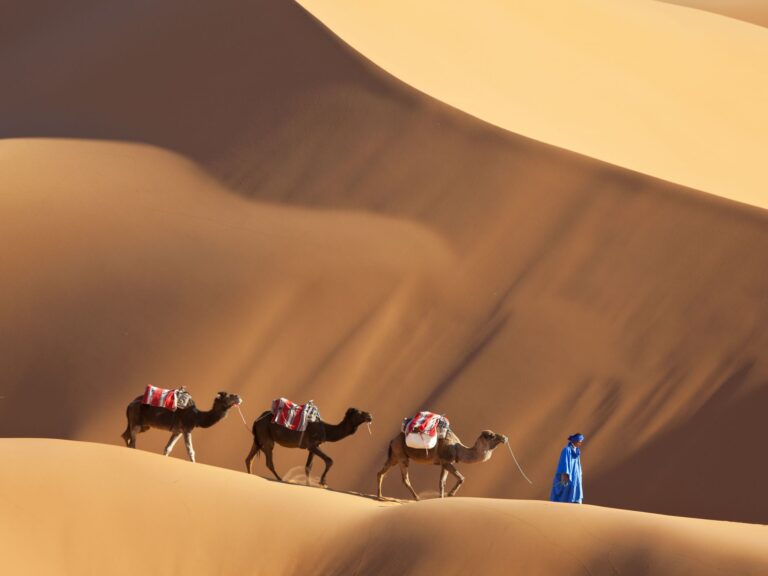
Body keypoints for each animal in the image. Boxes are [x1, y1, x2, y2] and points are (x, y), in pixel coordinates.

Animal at [244, 408, 374, 488]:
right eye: (358, 413)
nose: (370, 416)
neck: (326, 429)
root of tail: (257, 420)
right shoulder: (312, 445)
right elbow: (329, 460)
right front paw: (322, 482)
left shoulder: (313, 447)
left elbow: (308, 466)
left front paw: (309, 484)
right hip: (267, 438)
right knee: (269, 462)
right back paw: (280, 479)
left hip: (258, 438)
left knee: (249, 459)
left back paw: (251, 475)